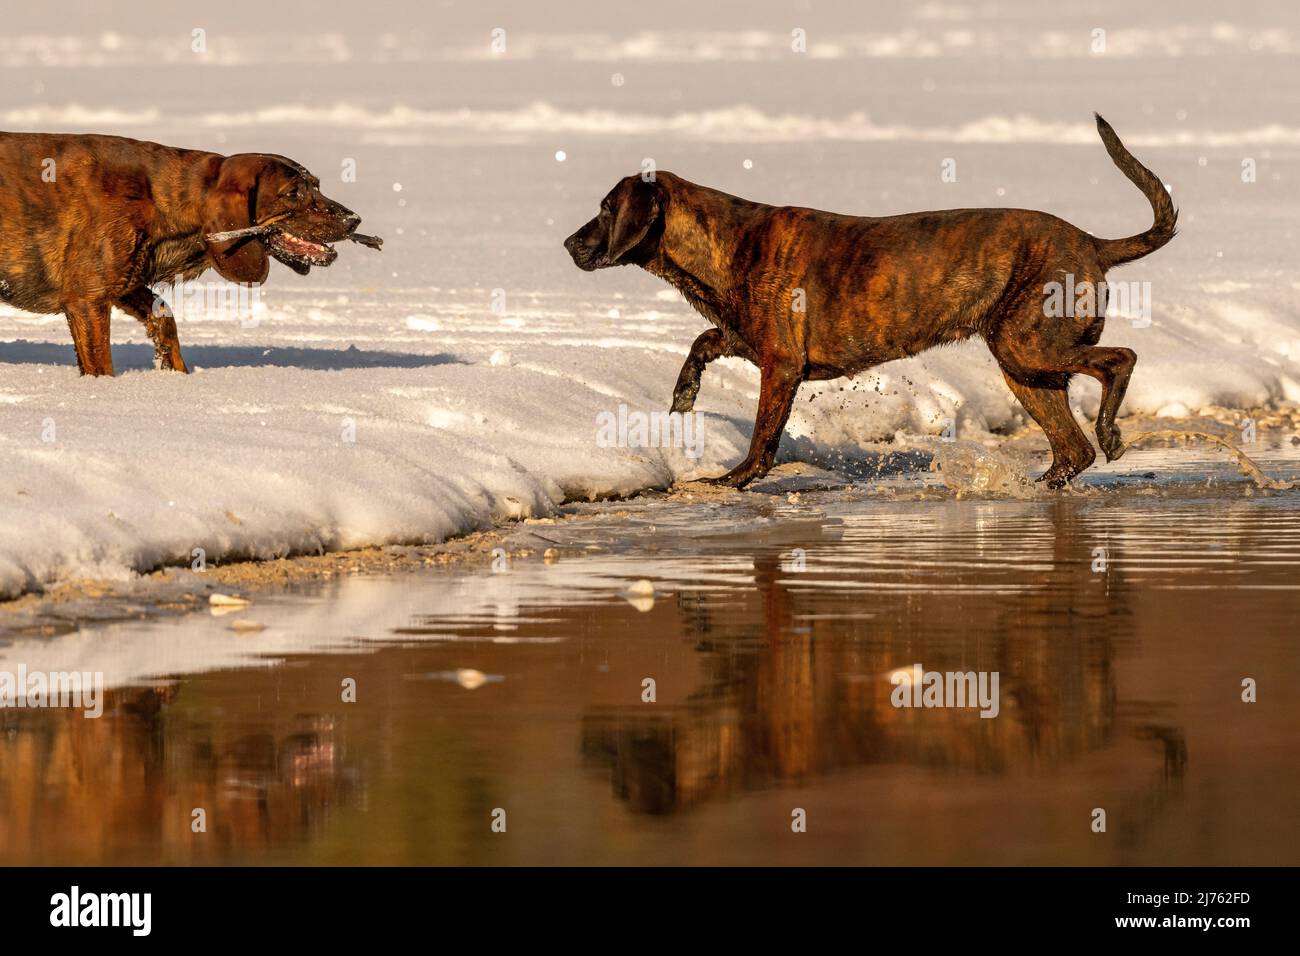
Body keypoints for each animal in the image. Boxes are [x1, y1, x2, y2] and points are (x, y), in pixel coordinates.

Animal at [0, 132, 377, 374]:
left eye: (316, 186)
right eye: (293, 193)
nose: (354, 220)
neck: (159, 199)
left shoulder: (125, 285)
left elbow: (164, 318)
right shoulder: (87, 300)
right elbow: (101, 365)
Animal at [564, 113, 1175, 486]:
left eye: (605, 208)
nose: (569, 243)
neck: (726, 245)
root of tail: (1092, 241)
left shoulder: (780, 366)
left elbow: (763, 437)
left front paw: (735, 478)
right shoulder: (740, 337)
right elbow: (701, 342)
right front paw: (683, 396)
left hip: (1027, 346)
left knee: (1120, 362)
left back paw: (1111, 432)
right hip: (1026, 369)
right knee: (1072, 450)